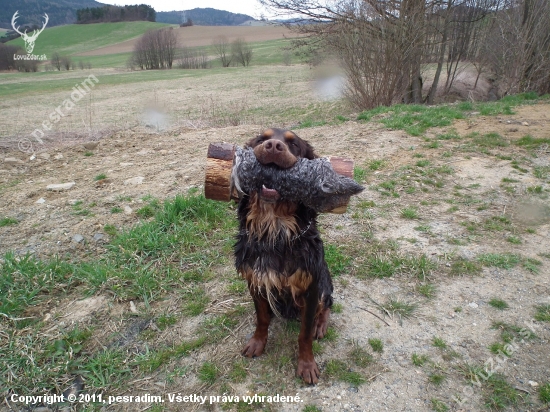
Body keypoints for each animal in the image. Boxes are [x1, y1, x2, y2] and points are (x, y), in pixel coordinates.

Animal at [235, 127, 334, 384]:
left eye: (294, 144)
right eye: (262, 138)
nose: (273, 146)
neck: (274, 228)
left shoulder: (310, 287)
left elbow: (304, 334)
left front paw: (306, 364)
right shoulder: (255, 279)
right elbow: (261, 318)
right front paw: (257, 343)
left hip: (325, 281)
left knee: (327, 304)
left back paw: (321, 325)